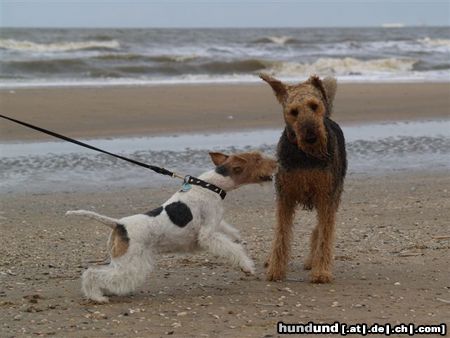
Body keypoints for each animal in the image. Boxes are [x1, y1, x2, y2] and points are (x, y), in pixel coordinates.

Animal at [66, 152, 278, 302]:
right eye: (257, 158)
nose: (276, 162)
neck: (212, 185)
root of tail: (119, 224)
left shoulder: (216, 225)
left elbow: (229, 233)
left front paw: (237, 238)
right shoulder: (207, 234)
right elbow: (231, 248)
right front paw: (247, 266)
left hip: (123, 260)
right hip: (129, 262)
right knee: (92, 273)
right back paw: (97, 297)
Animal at [260, 73, 348, 282]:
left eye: (314, 105)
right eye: (293, 111)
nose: (311, 138)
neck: (306, 156)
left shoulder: (326, 196)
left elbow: (325, 234)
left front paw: (321, 271)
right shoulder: (285, 196)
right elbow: (281, 233)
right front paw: (275, 269)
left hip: (335, 194)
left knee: (318, 229)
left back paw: (312, 261)